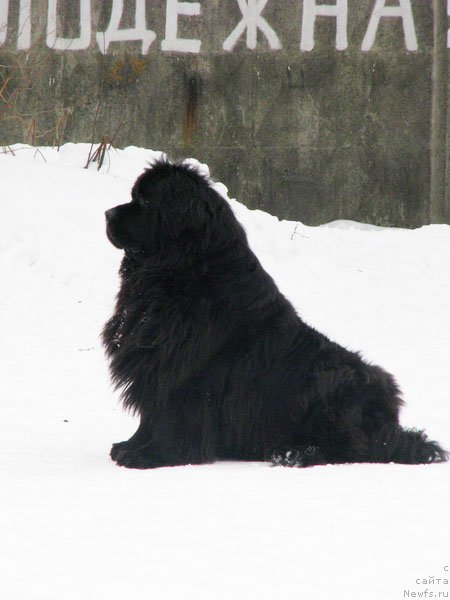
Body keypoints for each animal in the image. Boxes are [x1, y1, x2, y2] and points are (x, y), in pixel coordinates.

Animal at [103, 159, 448, 468]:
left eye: (144, 201)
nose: (107, 213)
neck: (181, 273)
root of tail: (392, 423)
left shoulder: (183, 372)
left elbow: (171, 417)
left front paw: (150, 456)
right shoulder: (154, 363)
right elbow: (150, 415)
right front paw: (129, 446)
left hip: (335, 381)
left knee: (354, 448)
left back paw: (294, 453)